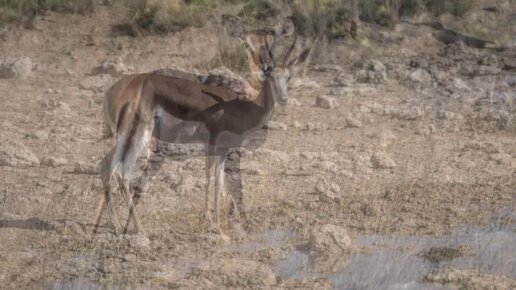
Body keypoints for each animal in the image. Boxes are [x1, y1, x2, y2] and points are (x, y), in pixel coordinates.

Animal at [94, 15, 308, 234]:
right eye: (271, 76)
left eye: (288, 76)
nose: (283, 98)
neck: (243, 106)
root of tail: (115, 90)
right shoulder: (212, 143)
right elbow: (210, 177)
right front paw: (213, 222)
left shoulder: (222, 148)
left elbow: (219, 181)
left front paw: (218, 221)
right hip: (140, 136)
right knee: (123, 173)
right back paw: (140, 230)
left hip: (124, 137)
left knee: (105, 164)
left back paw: (115, 225)